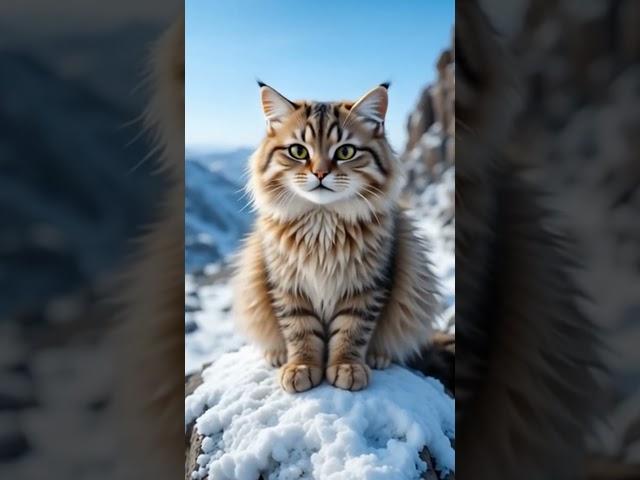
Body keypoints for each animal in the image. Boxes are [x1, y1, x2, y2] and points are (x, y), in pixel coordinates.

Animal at [232, 80, 442, 392]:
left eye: (345, 152)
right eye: (298, 151)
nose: (320, 173)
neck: (323, 224)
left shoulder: (366, 286)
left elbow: (351, 332)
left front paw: (347, 367)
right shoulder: (288, 286)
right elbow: (300, 332)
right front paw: (301, 366)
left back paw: (379, 358)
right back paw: (277, 355)